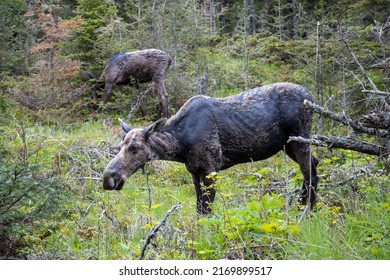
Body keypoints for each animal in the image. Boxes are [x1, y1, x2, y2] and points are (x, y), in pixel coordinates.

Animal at [102, 82, 318, 213]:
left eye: (135, 148)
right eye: (121, 145)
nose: (108, 178)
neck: (179, 146)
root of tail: (312, 96)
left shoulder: (209, 169)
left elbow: (206, 210)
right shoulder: (194, 171)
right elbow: (199, 208)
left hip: (300, 140)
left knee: (309, 174)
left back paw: (306, 210)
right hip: (288, 145)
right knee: (314, 165)